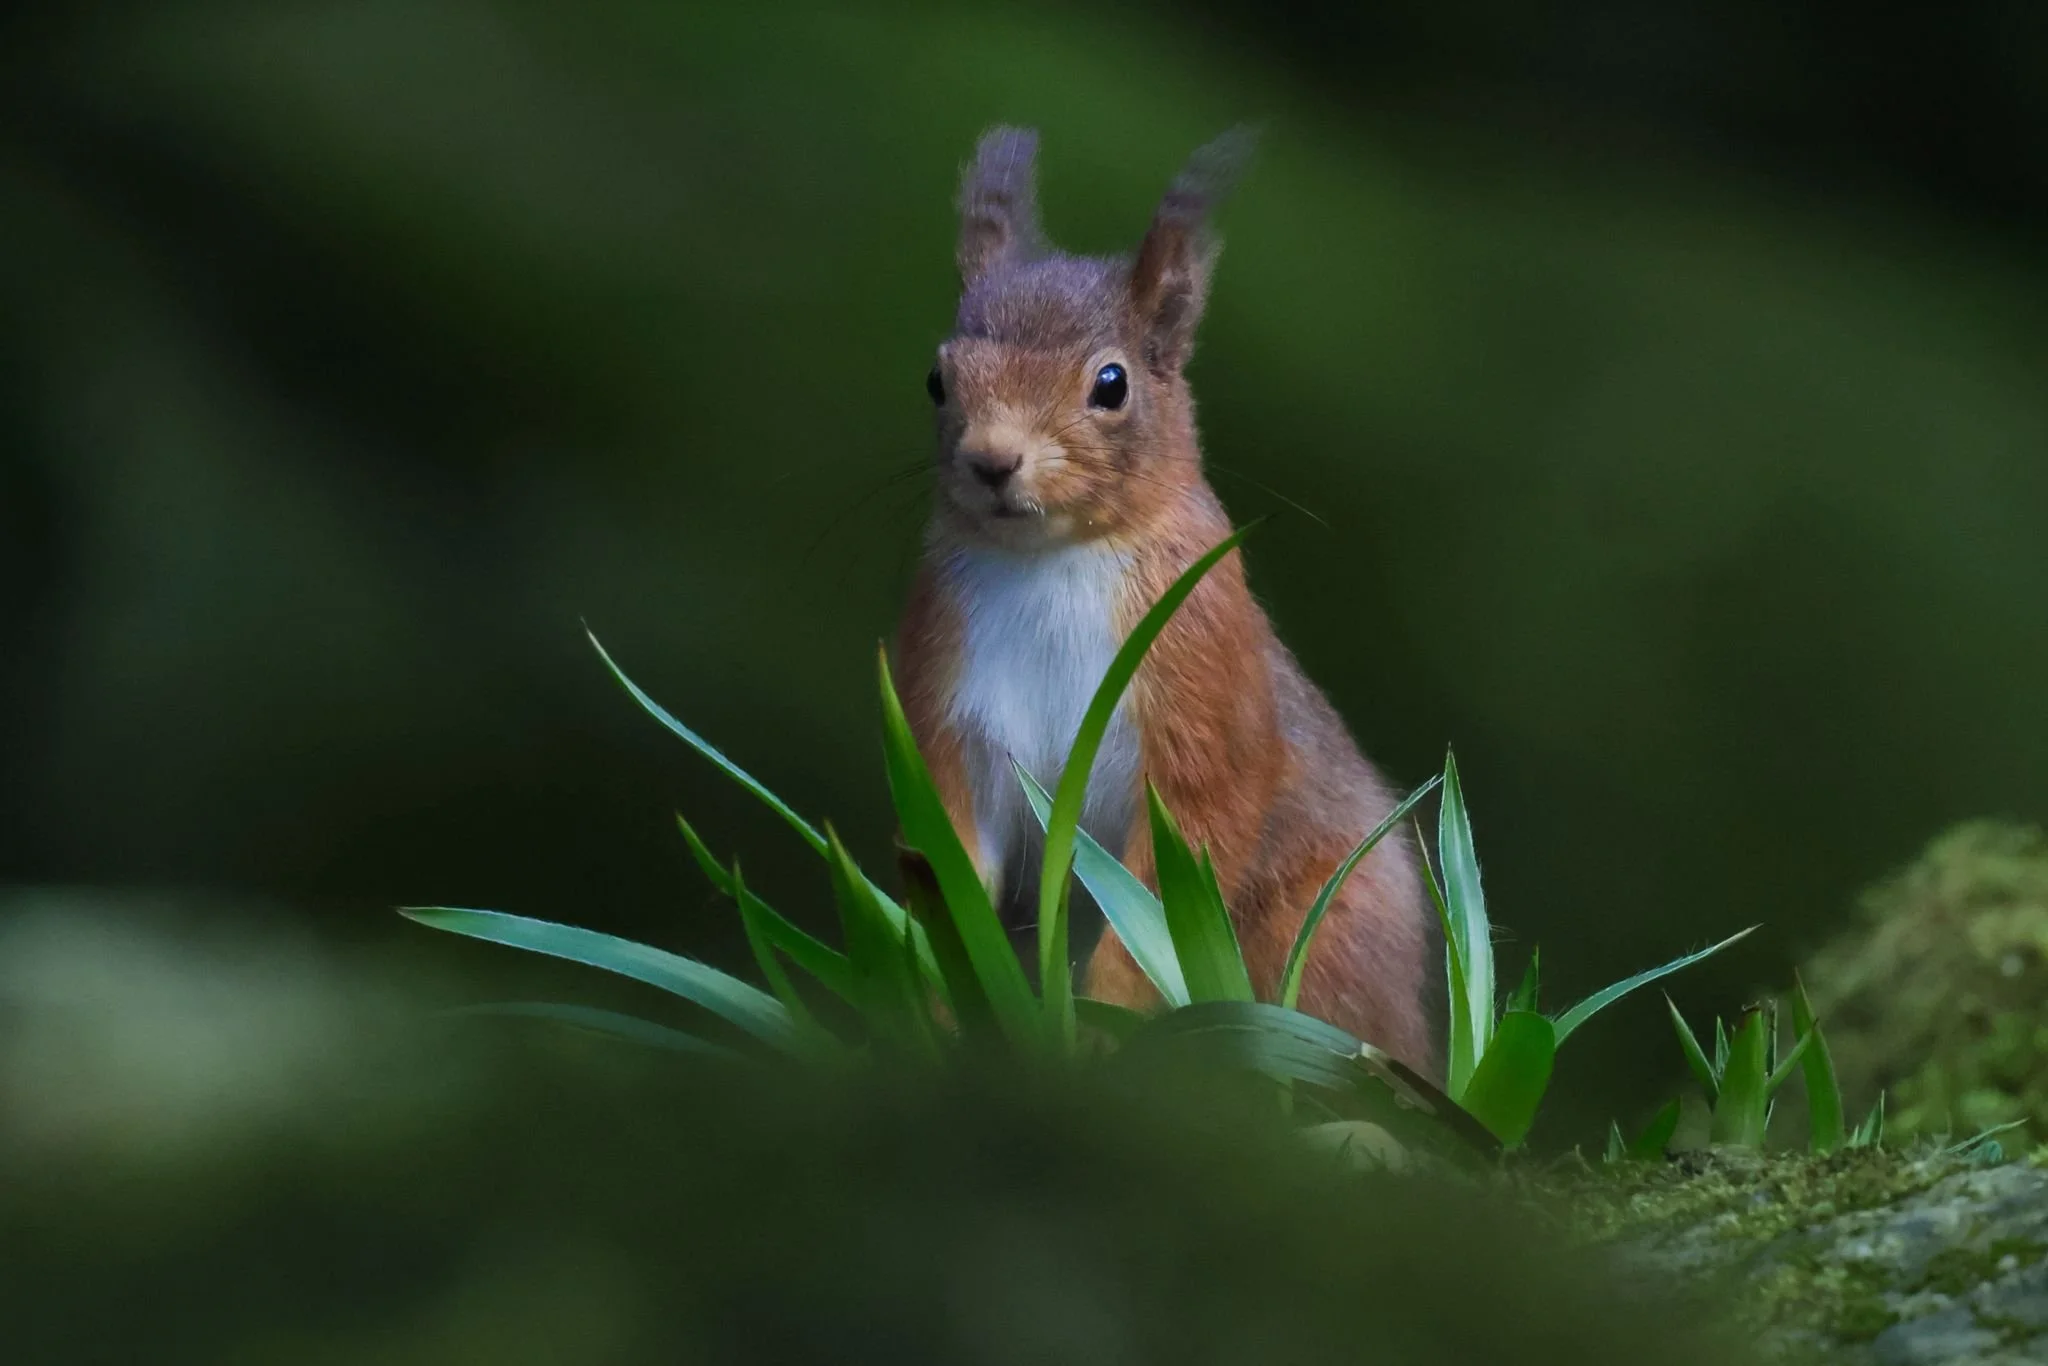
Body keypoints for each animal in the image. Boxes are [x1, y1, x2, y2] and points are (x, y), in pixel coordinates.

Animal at [892, 126, 1439, 1079]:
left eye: (1111, 384)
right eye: (937, 379)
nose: (992, 461)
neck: (1054, 561)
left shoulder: (1199, 684)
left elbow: (1174, 877)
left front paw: (1108, 1023)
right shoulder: (947, 700)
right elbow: (952, 851)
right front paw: (937, 1008)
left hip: (1335, 935)